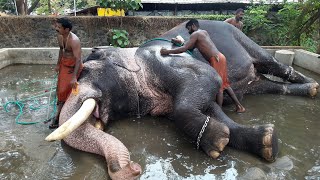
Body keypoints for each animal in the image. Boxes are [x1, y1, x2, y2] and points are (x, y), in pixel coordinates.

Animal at [45, 20, 318, 179]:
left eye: (83, 72)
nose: (133, 169)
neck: (133, 55)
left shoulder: (168, 62)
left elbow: (203, 86)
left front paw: (219, 140)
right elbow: (212, 108)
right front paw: (257, 141)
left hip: (243, 39)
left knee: (273, 64)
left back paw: (314, 87)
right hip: (253, 80)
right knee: (264, 84)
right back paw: (305, 90)